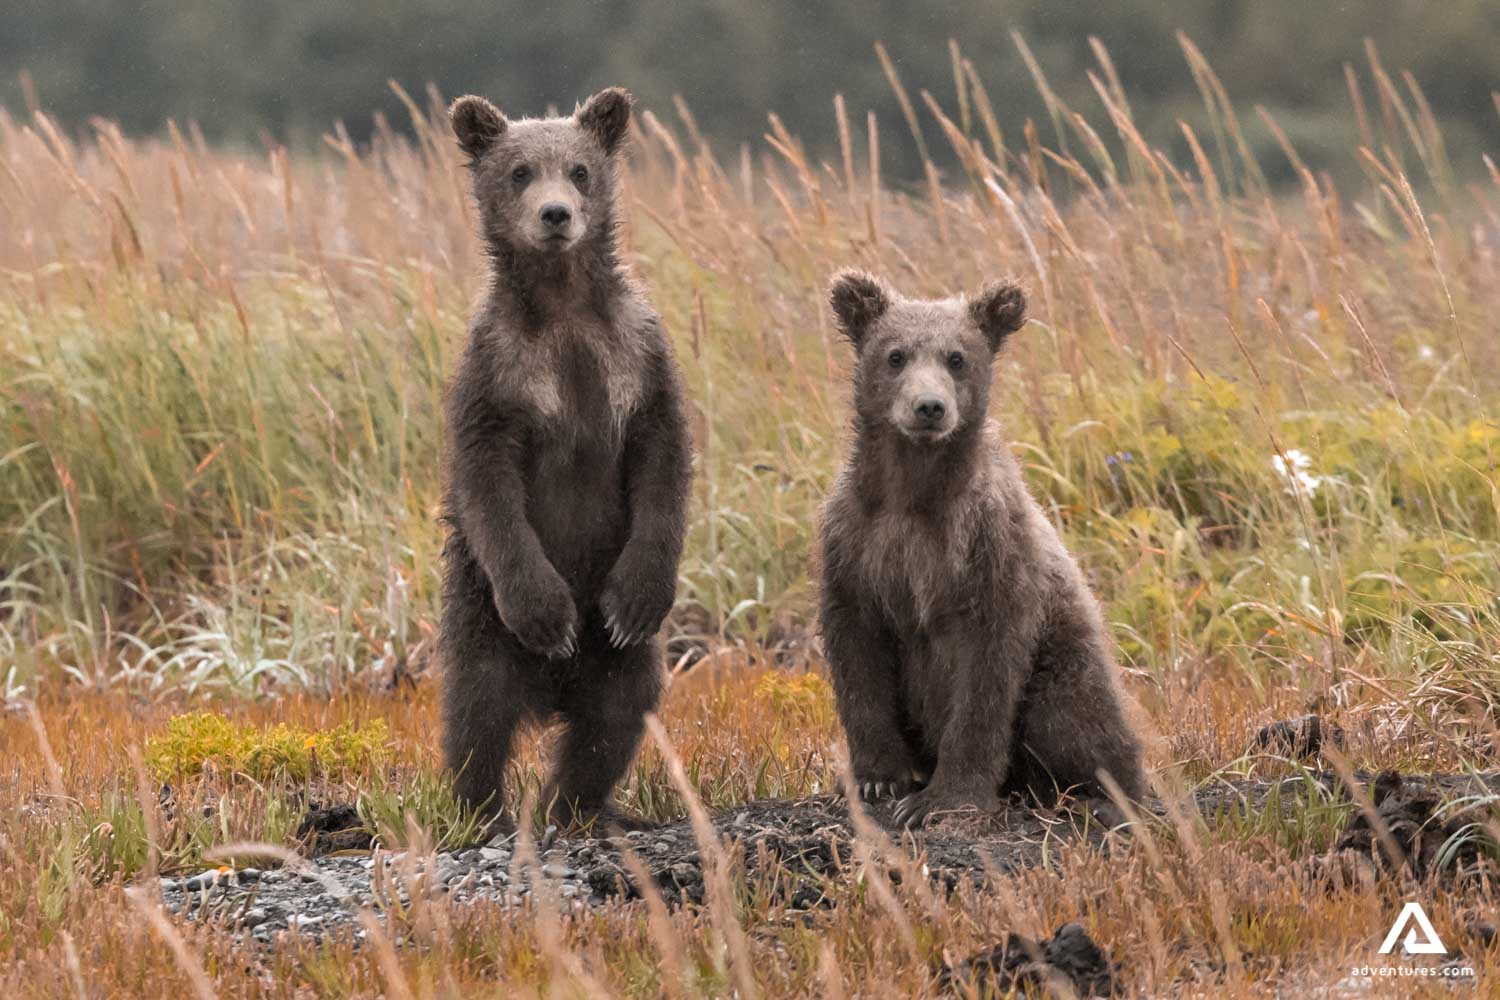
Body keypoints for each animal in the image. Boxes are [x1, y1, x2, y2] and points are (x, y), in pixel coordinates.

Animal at [439, 88, 692, 832]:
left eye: (579, 170)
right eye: (520, 170)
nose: (556, 214)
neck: (563, 306)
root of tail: (551, 692)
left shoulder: (637, 357)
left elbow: (663, 464)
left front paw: (636, 598)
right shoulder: (497, 374)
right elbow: (490, 485)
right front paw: (549, 614)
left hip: (617, 660)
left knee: (615, 714)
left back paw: (582, 807)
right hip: (480, 615)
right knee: (478, 711)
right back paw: (483, 811)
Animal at [818, 270, 1147, 827]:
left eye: (957, 357)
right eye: (895, 354)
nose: (929, 407)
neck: (915, 493)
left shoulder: (988, 550)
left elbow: (984, 680)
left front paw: (941, 799)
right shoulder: (856, 544)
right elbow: (859, 659)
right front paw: (877, 779)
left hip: (1066, 661)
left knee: (1078, 721)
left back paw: (1103, 794)